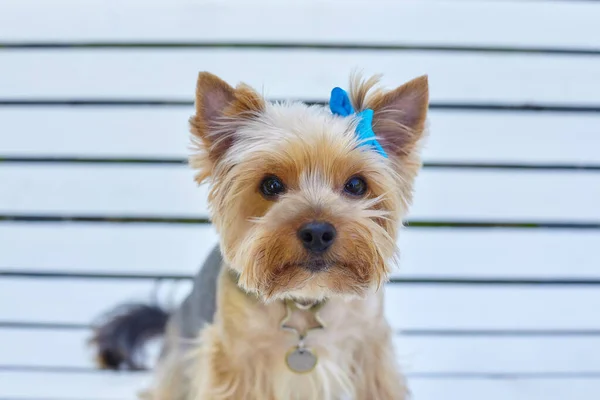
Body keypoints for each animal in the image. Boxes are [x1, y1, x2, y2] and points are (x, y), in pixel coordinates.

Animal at [91, 72, 428, 400]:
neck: (304, 301)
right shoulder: (234, 363)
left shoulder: (370, 348)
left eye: (356, 185)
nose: (318, 232)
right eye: (271, 185)